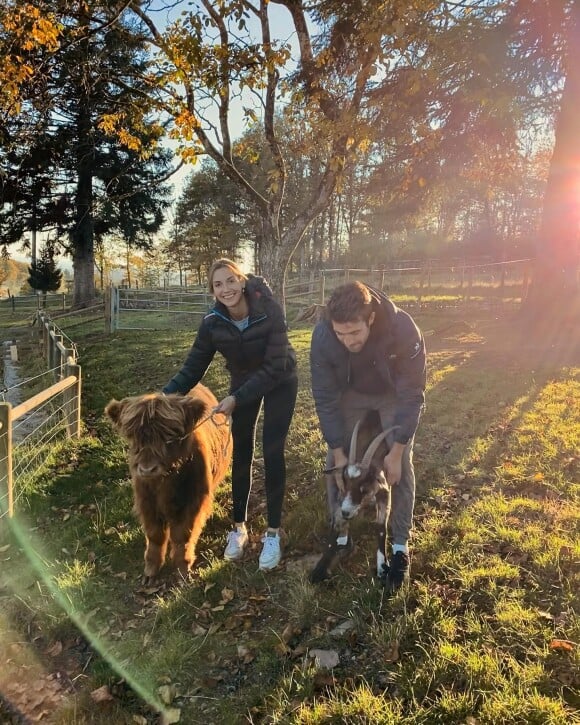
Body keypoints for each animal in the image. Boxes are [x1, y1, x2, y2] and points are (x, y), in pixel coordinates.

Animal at [105, 384, 232, 584]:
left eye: (169, 437)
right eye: (134, 438)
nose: (147, 469)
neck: (165, 482)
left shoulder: (193, 502)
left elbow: (182, 536)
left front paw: (182, 569)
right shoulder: (146, 502)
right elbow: (155, 535)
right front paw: (150, 570)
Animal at [310, 412, 396, 584]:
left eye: (363, 489)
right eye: (345, 485)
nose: (346, 512)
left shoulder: (384, 491)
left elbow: (381, 528)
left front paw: (382, 567)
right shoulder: (341, 497)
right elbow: (335, 527)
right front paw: (320, 569)